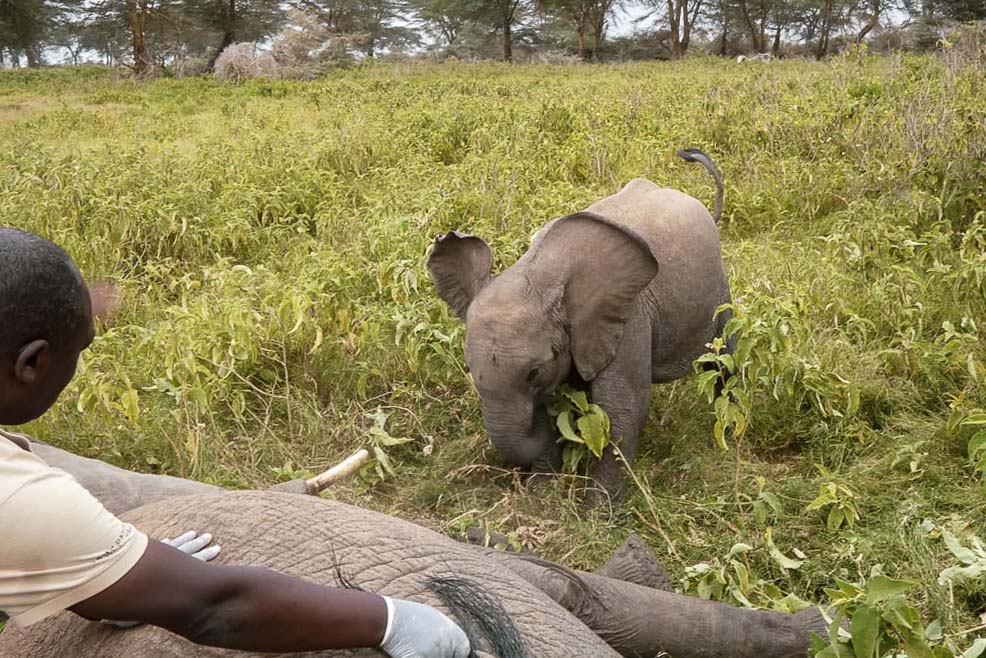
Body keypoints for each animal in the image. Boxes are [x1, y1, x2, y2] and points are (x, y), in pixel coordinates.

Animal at [426, 150, 736, 498]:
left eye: (533, 373)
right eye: (469, 369)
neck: (535, 275)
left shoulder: (627, 317)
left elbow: (622, 410)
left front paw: (597, 509)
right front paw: (542, 497)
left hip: (720, 291)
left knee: (724, 361)